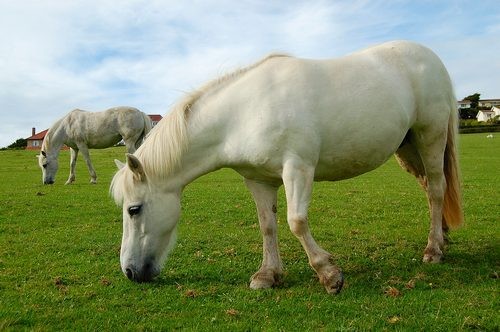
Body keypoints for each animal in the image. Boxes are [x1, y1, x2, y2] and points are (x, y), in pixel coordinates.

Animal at [111, 40, 462, 294]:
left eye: (134, 209)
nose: (129, 271)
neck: (245, 112)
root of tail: (430, 57)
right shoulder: (258, 180)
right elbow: (268, 225)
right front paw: (268, 275)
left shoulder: (298, 168)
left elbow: (296, 221)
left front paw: (329, 274)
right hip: (408, 147)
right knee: (428, 187)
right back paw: (442, 237)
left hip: (430, 136)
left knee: (436, 188)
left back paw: (433, 250)